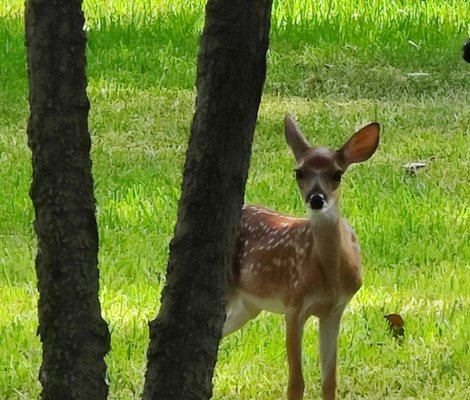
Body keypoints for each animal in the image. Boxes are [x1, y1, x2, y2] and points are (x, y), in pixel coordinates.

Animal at [222, 114, 380, 398]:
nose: (316, 198)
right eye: (299, 172)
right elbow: (296, 382)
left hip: (248, 306)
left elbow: (329, 380)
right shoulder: (294, 304)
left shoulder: (334, 310)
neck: (330, 278)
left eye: (337, 174)